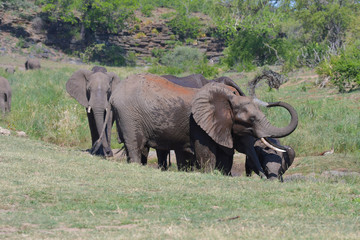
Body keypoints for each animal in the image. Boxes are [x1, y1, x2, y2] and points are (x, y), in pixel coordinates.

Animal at [104, 73, 298, 176]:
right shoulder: (198, 125)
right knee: (135, 147)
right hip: (129, 116)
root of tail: (114, 95)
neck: (227, 98)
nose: (266, 176)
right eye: (251, 120)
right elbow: (206, 154)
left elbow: (224, 155)